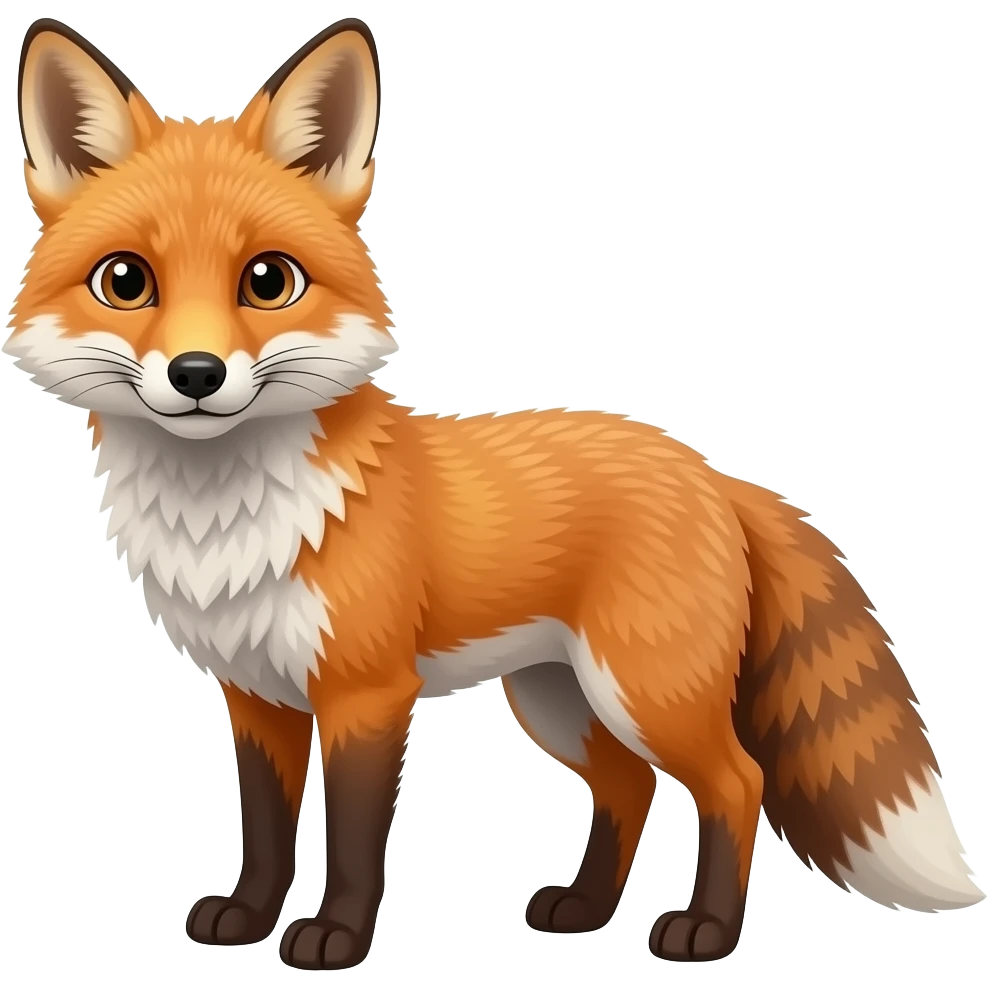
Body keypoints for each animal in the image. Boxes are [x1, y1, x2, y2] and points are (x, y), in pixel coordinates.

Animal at [6, 15, 985, 972]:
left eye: (268, 281)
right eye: (126, 281)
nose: (197, 374)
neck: (228, 519)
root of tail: (713, 472)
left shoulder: (367, 694)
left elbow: (353, 841)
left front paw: (334, 940)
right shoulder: (257, 695)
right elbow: (268, 831)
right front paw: (248, 917)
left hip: (644, 691)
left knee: (736, 781)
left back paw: (703, 931)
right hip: (557, 698)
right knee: (630, 784)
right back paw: (583, 910)